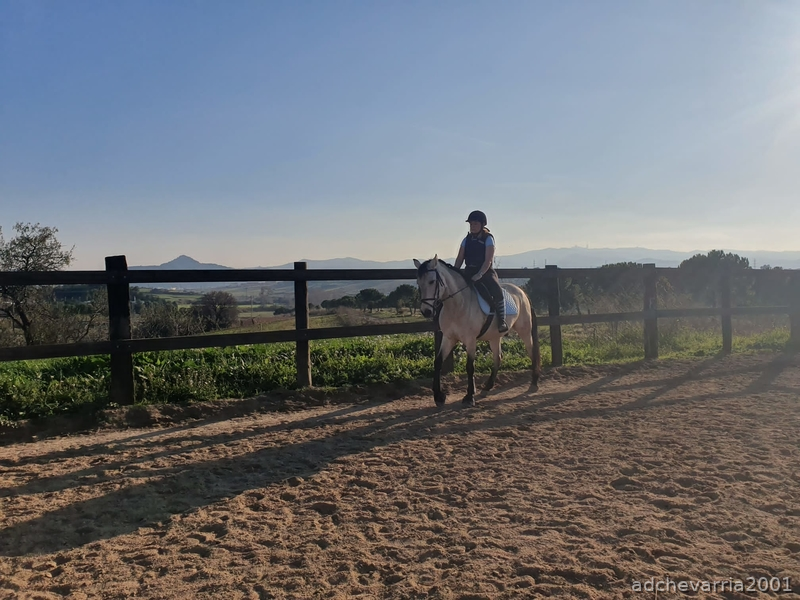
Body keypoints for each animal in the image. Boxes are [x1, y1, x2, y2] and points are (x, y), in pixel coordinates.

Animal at [413, 254, 541, 407]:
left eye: (432, 281)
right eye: (418, 283)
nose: (426, 311)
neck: (457, 305)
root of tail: (521, 292)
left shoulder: (470, 340)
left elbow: (470, 366)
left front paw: (469, 397)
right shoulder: (449, 338)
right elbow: (438, 362)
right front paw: (439, 396)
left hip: (525, 331)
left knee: (532, 353)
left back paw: (533, 383)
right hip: (495, 337)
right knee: (498, 358)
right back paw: (487, 388)